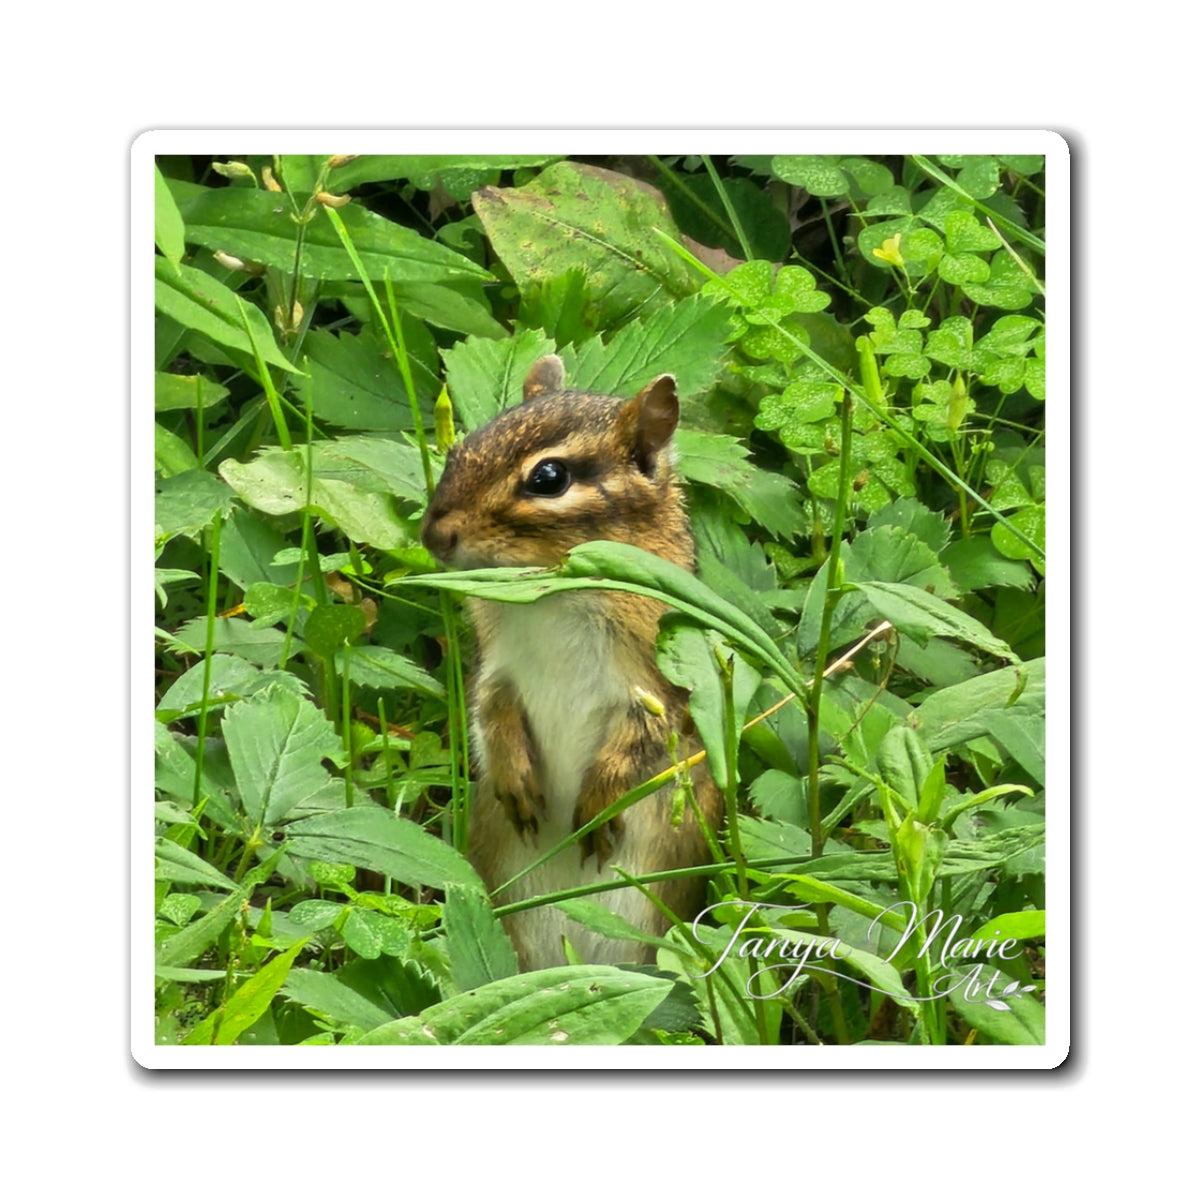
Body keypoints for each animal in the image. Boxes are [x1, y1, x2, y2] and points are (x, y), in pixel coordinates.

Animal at [421, 355, 721, 971]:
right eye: (461, 448)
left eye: (548, 479)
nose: (433, 534)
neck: (550, 597)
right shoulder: (497, 667)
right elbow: (490, 713)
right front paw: (514, 779)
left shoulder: (657, 685)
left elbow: (641, 743)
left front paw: (599, 807)